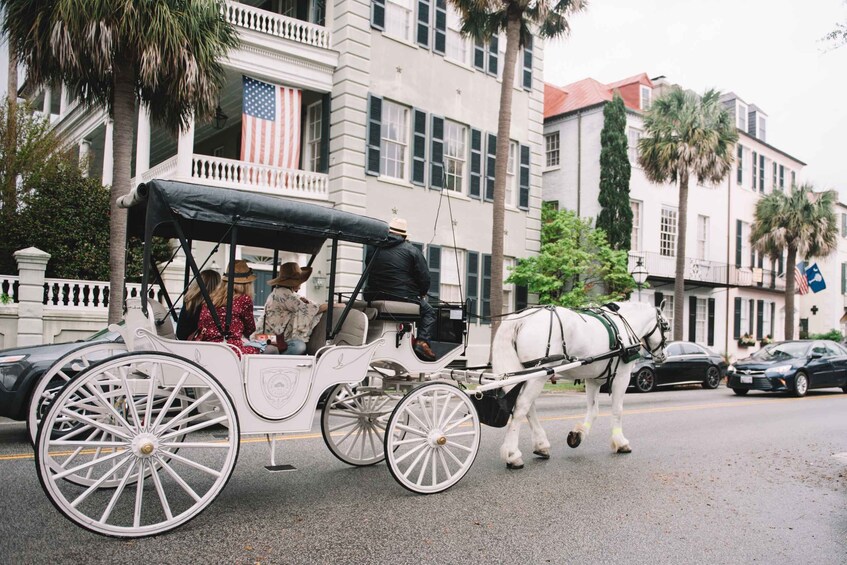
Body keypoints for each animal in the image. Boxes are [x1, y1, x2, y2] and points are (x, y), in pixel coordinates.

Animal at [490, 302, 668, 470]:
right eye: (666, 326)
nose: (663, 356)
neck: (621, 328)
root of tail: (522, 318)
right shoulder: (621, 377)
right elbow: (617, 410)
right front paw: (621, 442)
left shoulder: (594, 379)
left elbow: (593, 410)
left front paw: (578, 434)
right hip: (539, 373)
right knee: (522, 407)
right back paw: (512, 455)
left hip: (527, 374)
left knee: (528, 408)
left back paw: (541, 445)